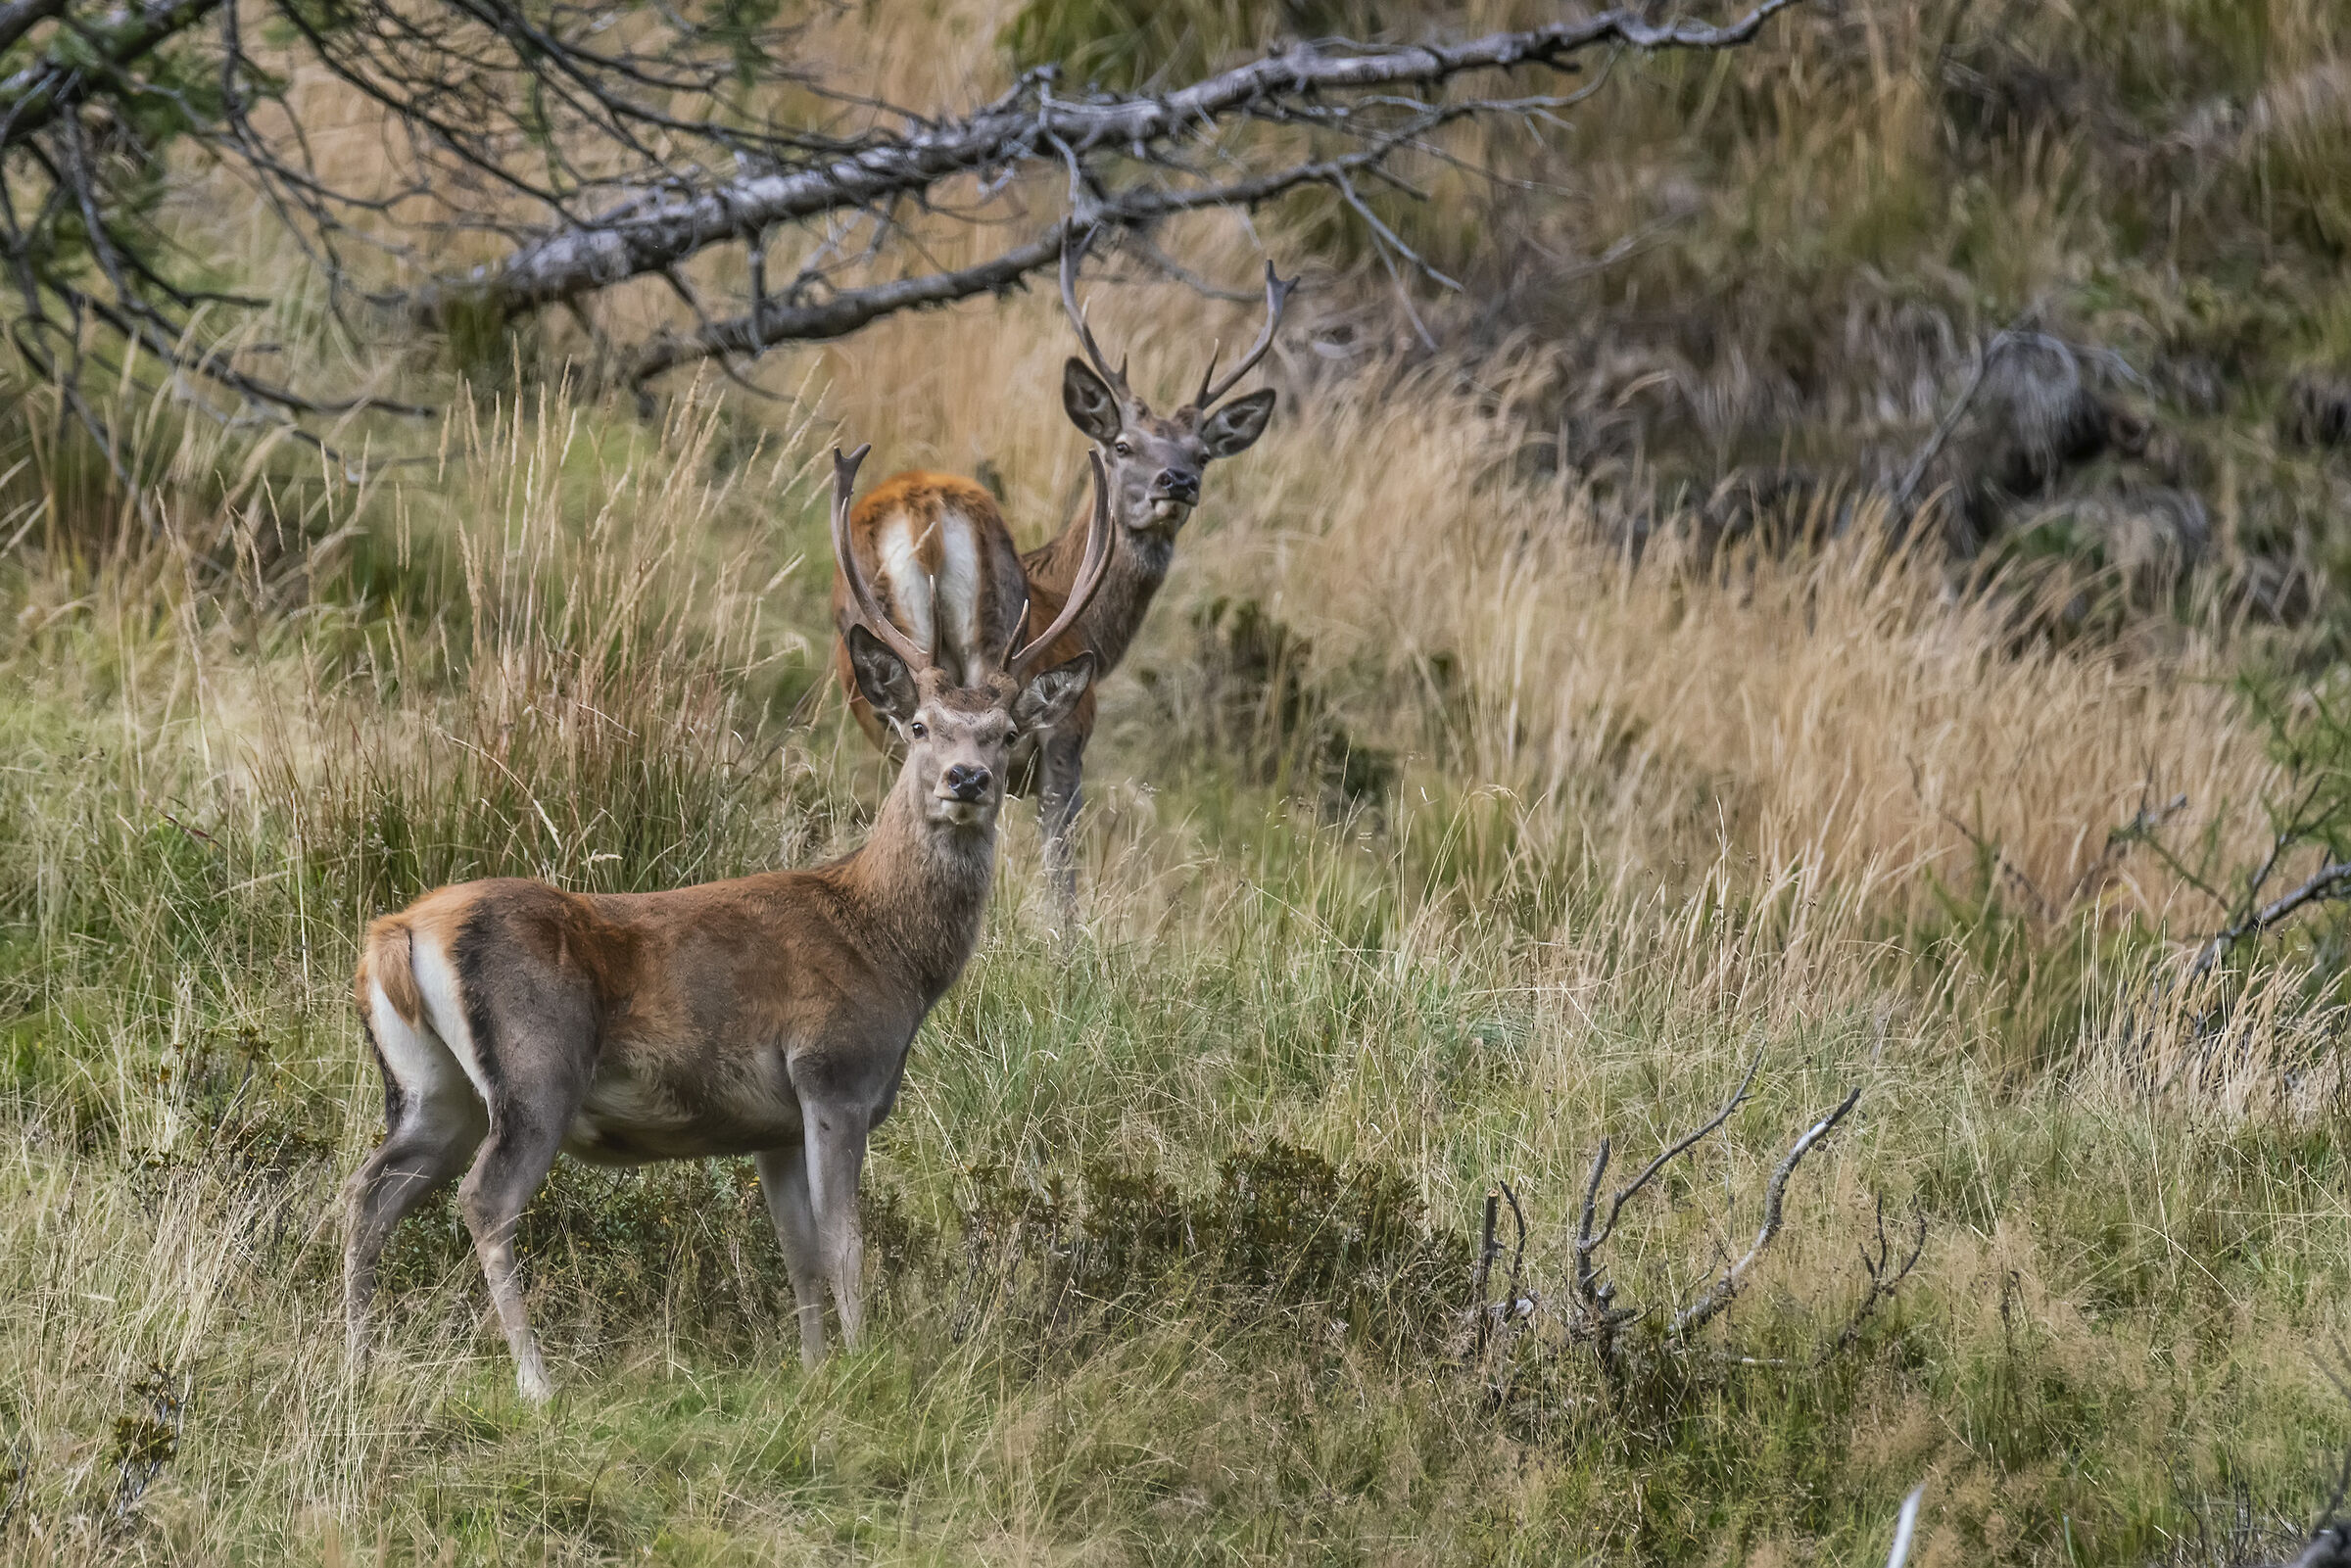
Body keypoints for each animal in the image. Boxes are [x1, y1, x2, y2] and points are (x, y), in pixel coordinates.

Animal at [342, 443, 1112, 1401]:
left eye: (1006, 731)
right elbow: (847, 1248)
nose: (965, 779)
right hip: (536, 1067)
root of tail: (398, 933)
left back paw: (354, 1362)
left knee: (370, 1190)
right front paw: (863, 1367)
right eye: (921, 725)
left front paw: (816, 1370)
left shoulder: (770, 1126)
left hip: (429, 1088)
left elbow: (800, 1256)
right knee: (482, 1199)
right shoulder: (833, 1071)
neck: (889, 950)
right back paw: (537, 1382)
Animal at [830, 231, 1295, 910]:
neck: (1082, 618)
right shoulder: (1066, 738)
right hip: (993, 656)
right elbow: (1061, 875)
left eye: (1203, 454)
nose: (1177, 482)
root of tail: (924, 512)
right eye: (1123, 445)